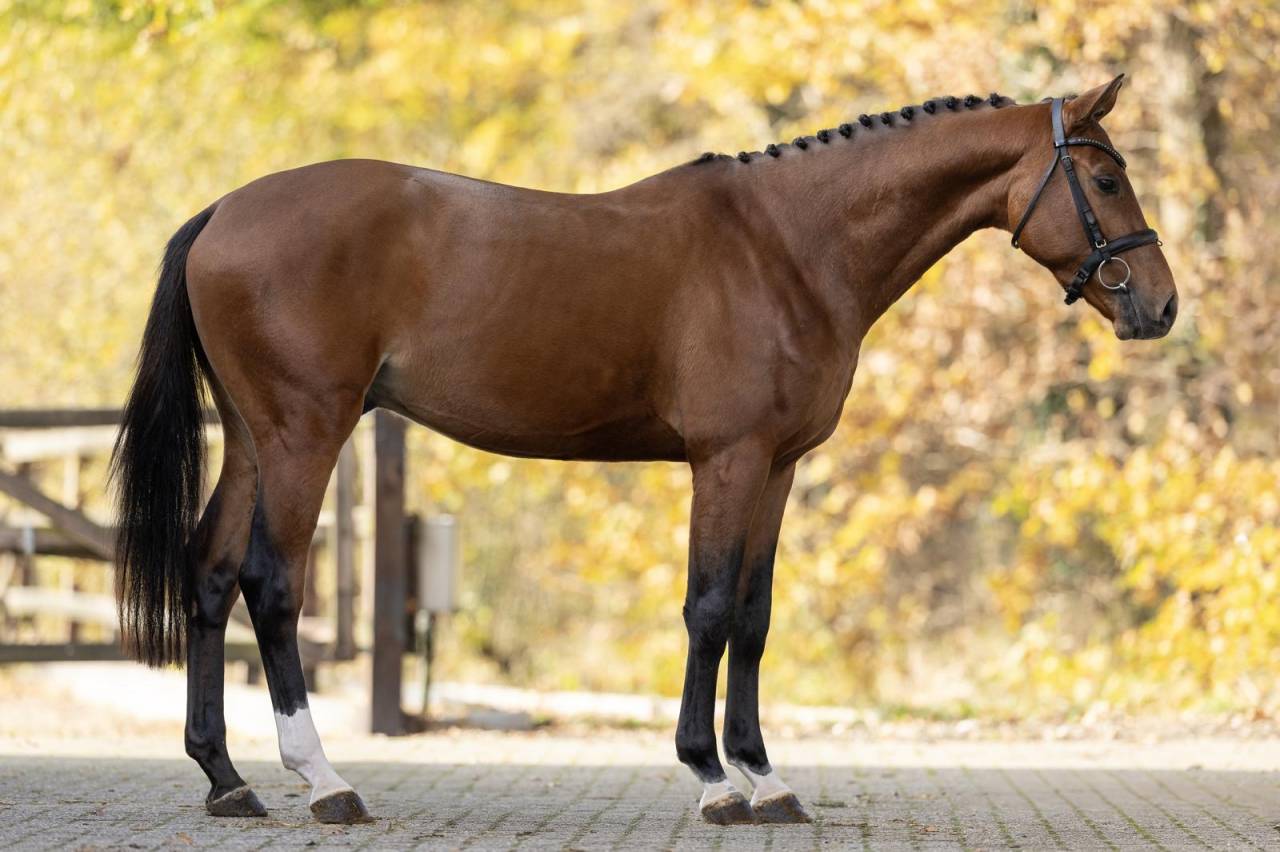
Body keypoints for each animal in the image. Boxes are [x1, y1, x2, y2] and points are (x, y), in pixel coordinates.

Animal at [112, 74, 1177, 826]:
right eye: (1107, 177)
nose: (1161, 307)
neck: (790, 246)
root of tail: (222, 213)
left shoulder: (778, 467)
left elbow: (753, 614)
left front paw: (765, 776)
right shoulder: (728, 460)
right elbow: (708, 608)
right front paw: (713, 779)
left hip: (254, 439)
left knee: (210, 575)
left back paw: (227, 779)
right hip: (306, 434)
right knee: (269, 583)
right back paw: (324, 781)